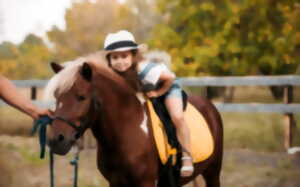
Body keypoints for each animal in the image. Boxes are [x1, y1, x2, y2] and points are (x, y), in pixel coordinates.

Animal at [44, 51, 223, 187]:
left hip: (213, 172)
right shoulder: (115, 183)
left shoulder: (146, 182)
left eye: (81, 97)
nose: (56, 140)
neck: (126, 129)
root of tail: (209, 104)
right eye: (56, 96)